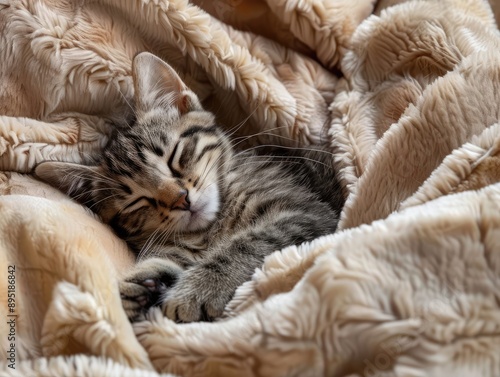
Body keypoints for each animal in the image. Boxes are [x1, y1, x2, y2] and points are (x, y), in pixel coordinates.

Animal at [36, 51, 344, 322]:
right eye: (137, 201)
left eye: (174, 157)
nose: (180, 199)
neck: (214, 227)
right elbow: (168, 260)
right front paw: (137, 285)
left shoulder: (307, 213)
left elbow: (252, 242)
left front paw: (200, 288)